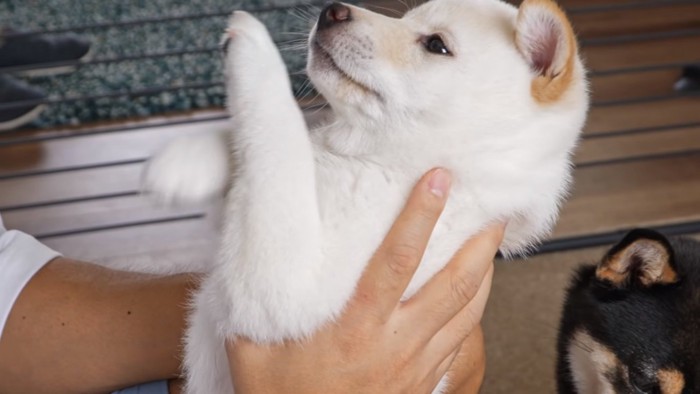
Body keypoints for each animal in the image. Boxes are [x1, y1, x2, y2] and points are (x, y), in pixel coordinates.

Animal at [144, 0, 592, 390]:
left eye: (436, 44)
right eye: (407, 19)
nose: (331, 10)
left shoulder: (283, 292)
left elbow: (280, 139)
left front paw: (254, 44)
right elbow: (282, 146)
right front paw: (186, 162)